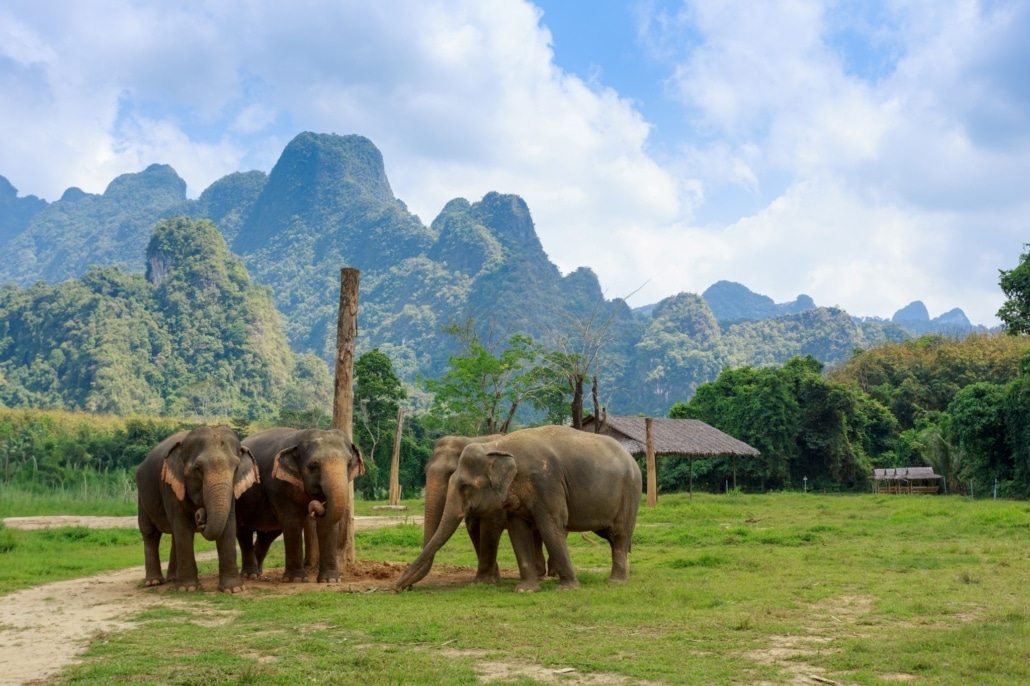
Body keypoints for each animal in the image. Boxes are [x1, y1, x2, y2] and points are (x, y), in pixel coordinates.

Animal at [136, 425, 259, 593]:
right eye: (198, 468)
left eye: (236, 468)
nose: (200, 516)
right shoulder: (170, 487)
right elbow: (182, 526)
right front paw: (188, 589)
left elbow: (228, 525)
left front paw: (234, 589)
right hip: (142, 497)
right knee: (150, 532)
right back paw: (154, 582)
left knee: (173, 535)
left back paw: (172, 579)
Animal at [235, 428, 364, 583]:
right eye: (314, 465)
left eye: (349, 463)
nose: (315, 507)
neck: (299, 438)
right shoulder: (279, 485)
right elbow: (292, 522)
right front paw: (296, 579)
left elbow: (328, 525)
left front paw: (330, 580)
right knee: (243, 532)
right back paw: (249, 575)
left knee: (267, 535)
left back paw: (257, 573)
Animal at [395, 425, 642, 592]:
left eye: (463, 485)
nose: (400, 588)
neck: (494, 446)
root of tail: (631, 458)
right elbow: (513, 530)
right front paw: (520, 588)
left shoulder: (545, 482)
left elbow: (545, 524)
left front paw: (568, 588)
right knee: (608, 534)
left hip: (630, 492)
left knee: (618, 534)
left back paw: (614, 581)